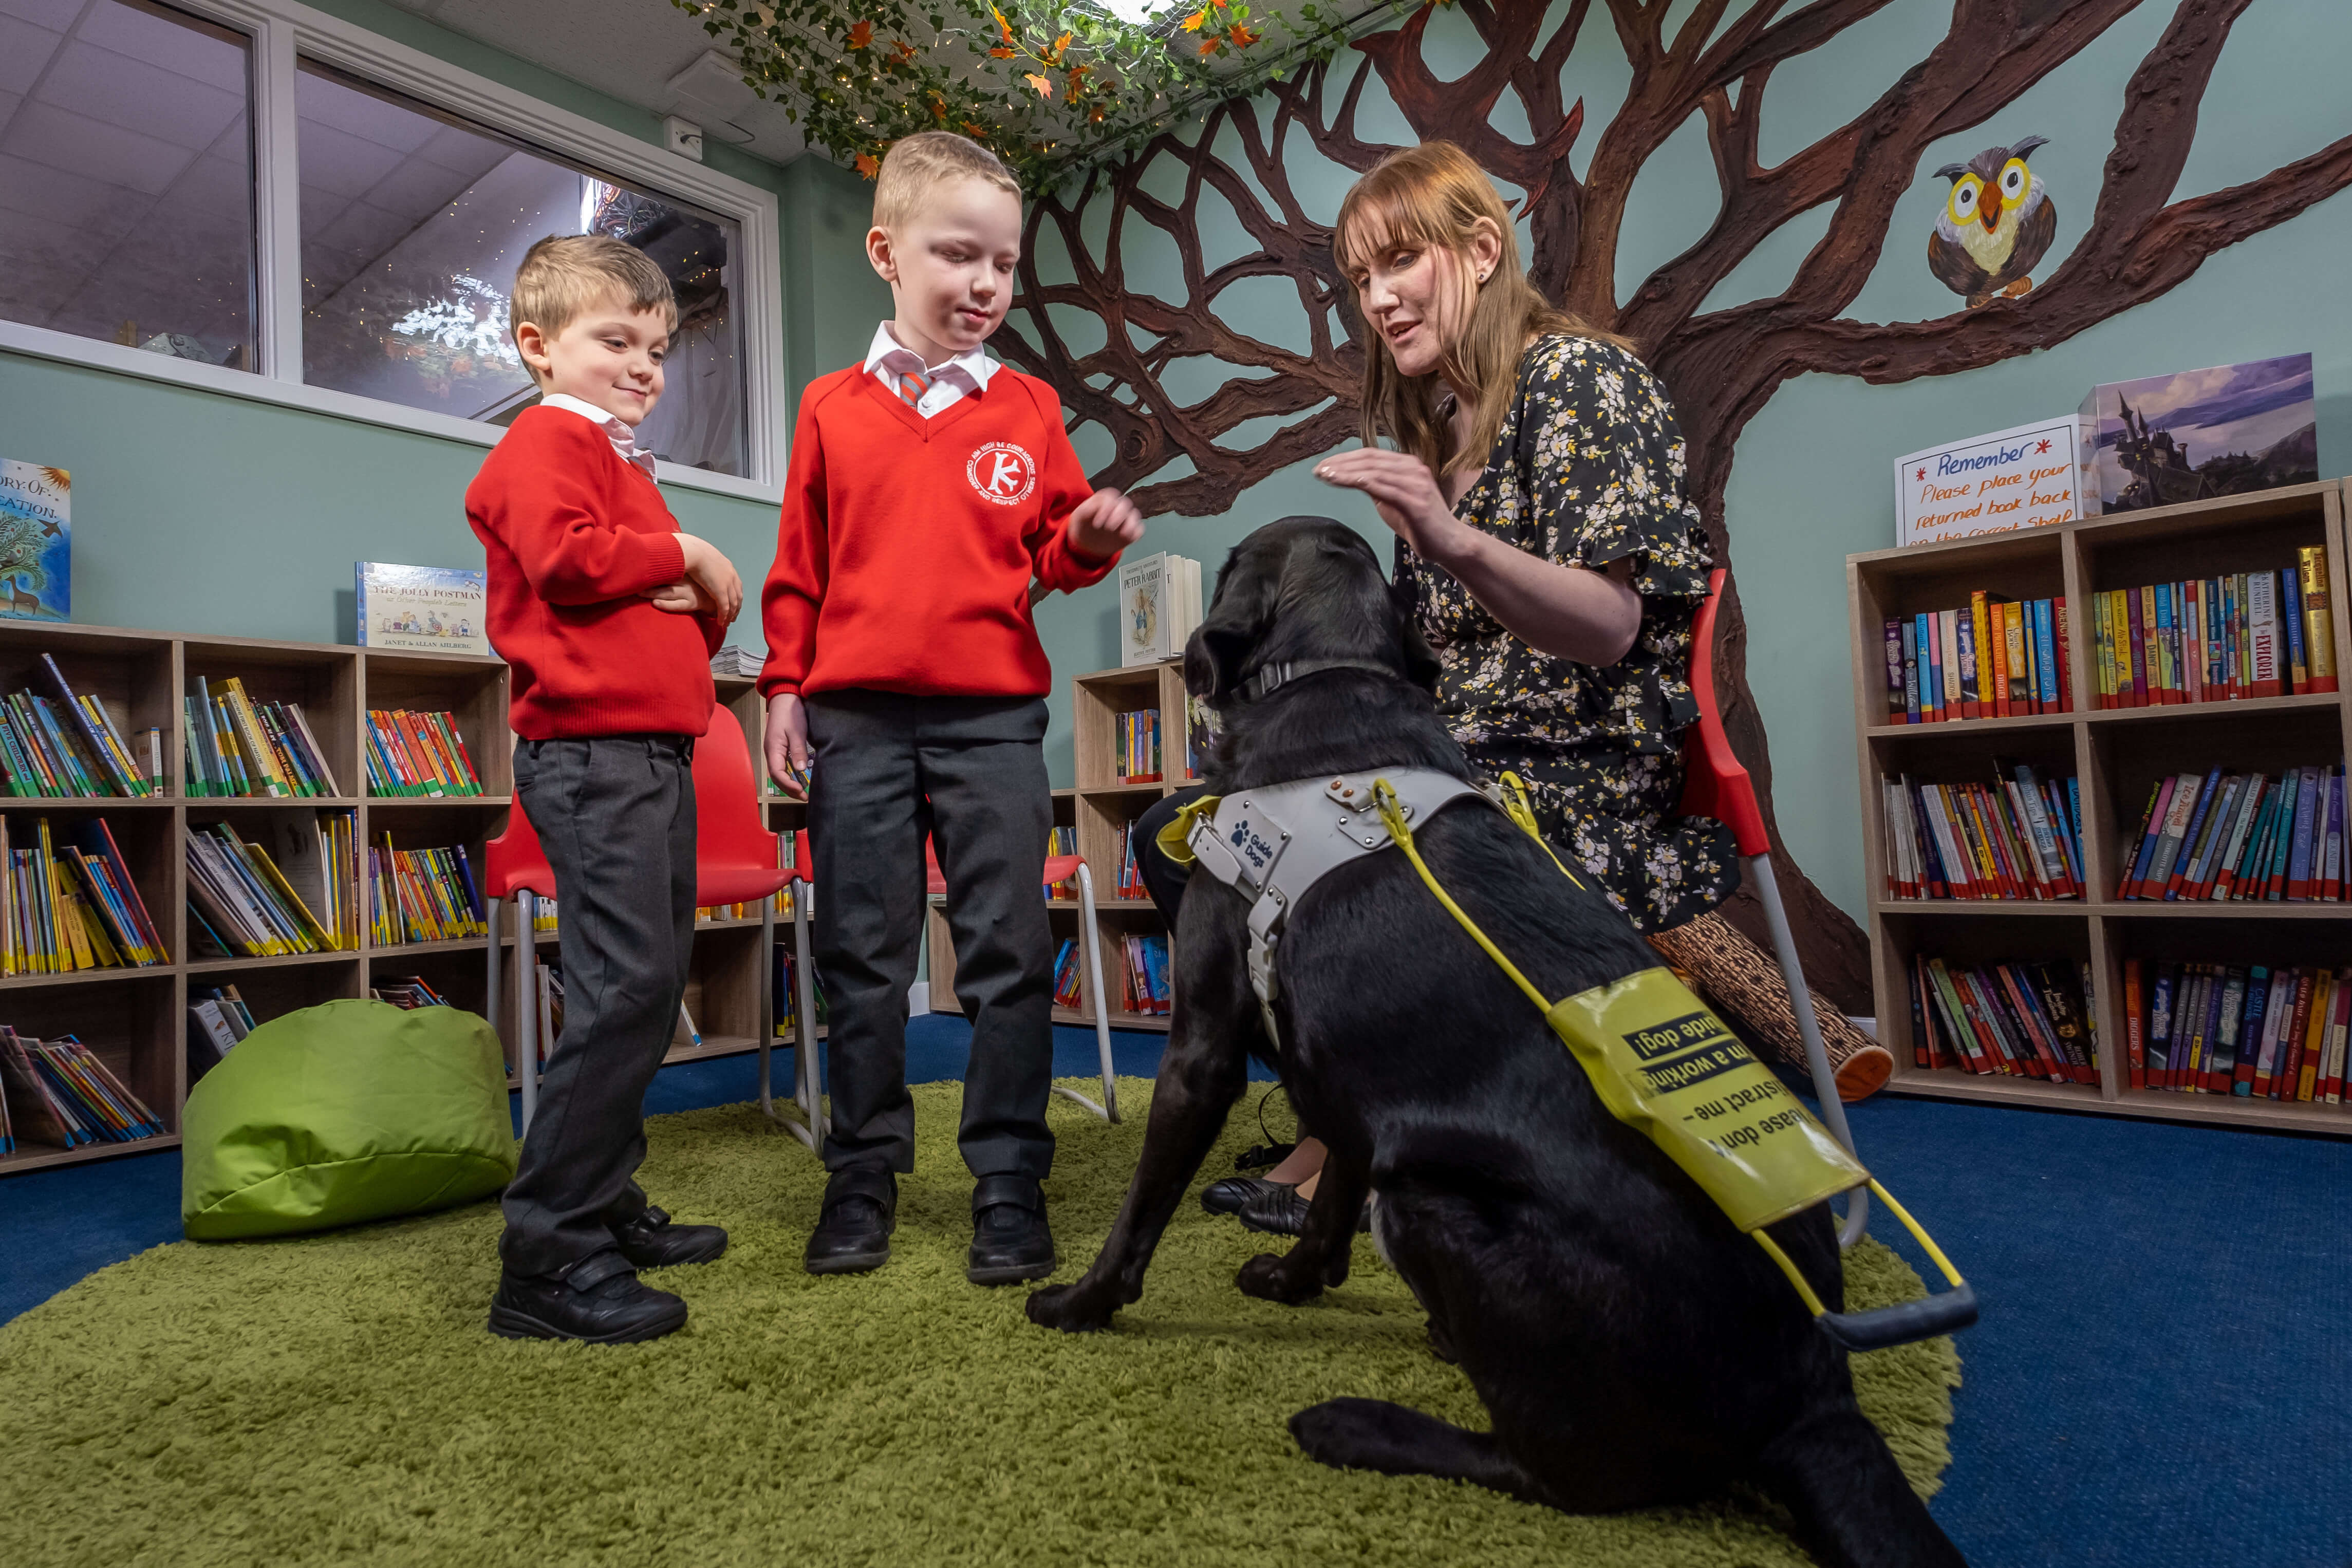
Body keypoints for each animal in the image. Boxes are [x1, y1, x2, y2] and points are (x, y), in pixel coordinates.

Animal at [1030, 517, 1966, 1568]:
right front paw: (1294, 1279)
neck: (1332, 679)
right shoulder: (1349, 1080)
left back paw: (1358, 1425)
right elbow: (1330, 1203)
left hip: (1434, 1202)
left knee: (1559, 1473)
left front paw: (1077, 1305)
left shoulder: (1202, 1050)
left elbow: (1141, 1211)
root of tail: (1814, 1396)